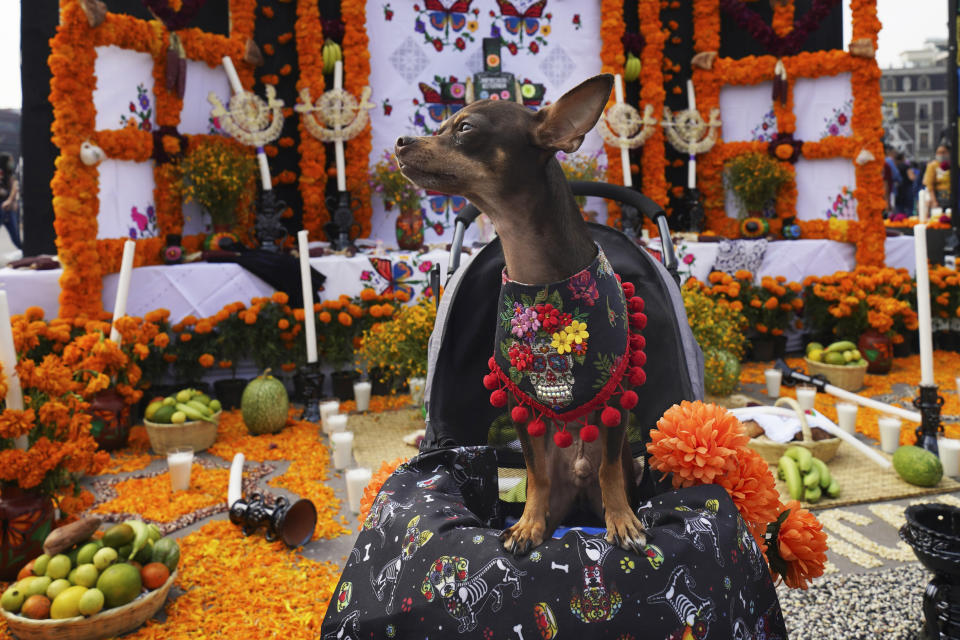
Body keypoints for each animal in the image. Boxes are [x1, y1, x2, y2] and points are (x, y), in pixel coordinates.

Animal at [394, 74, 648, 556]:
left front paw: (623, 521)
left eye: (465, 128)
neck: (541, 278)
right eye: (443, 124)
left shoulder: (616, 398)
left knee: (605, 470)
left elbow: (608, 467)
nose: (401, 140)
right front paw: (527, 525)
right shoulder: (519, 405)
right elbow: (536, 472)